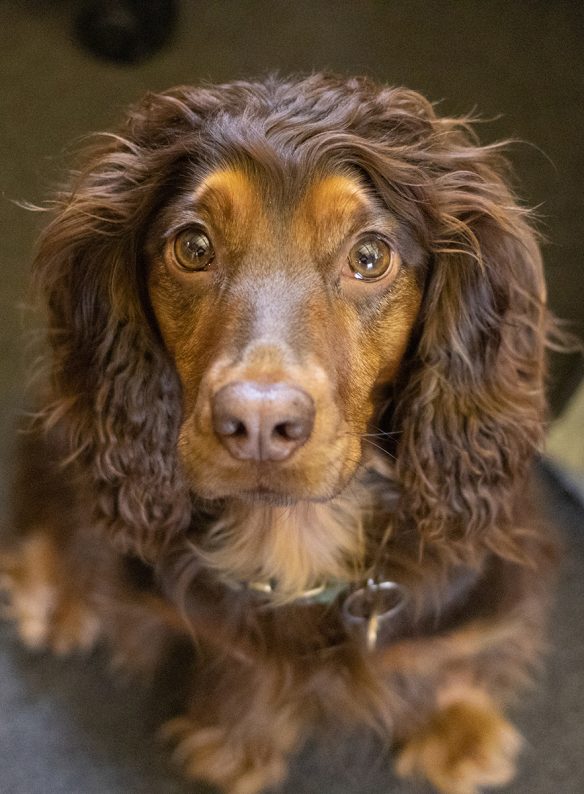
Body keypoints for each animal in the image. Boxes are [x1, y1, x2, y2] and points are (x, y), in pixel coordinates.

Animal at [1, 76, 556, 792]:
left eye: (369, 256)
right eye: (194, 247)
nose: (259, 425)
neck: (295, 535)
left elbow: (456, 647)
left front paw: (456, 723)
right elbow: (247, 664)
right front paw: (242, 742)